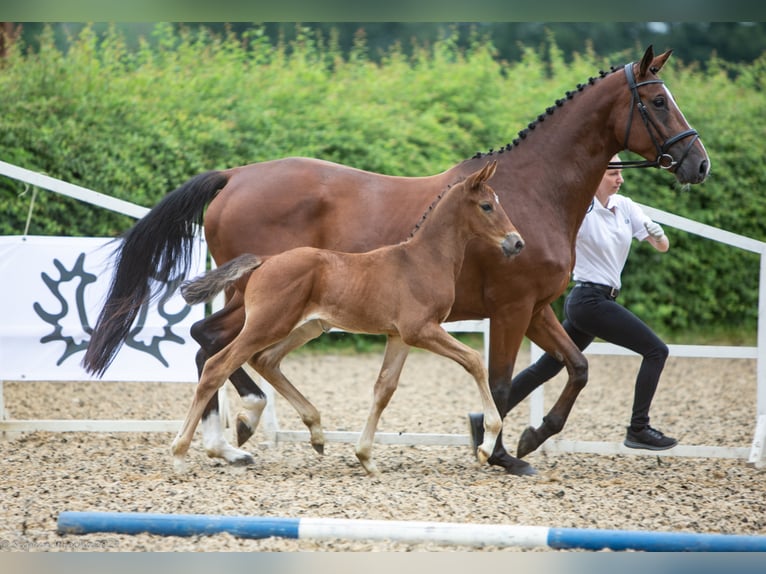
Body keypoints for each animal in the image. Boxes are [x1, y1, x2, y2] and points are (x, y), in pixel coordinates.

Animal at [171, 163, 524, 476]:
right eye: (487, 206)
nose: (517, 242)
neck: (422, 260)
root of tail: (265, 260)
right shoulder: (421, 330)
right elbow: (474, 360)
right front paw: (485, 446)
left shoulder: (399, 336)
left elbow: (384, 388)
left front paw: (366, 457)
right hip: (267, 324)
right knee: (217, 365)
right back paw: (180, 451)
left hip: (306, 326)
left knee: (265, 360)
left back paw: (314, 432)